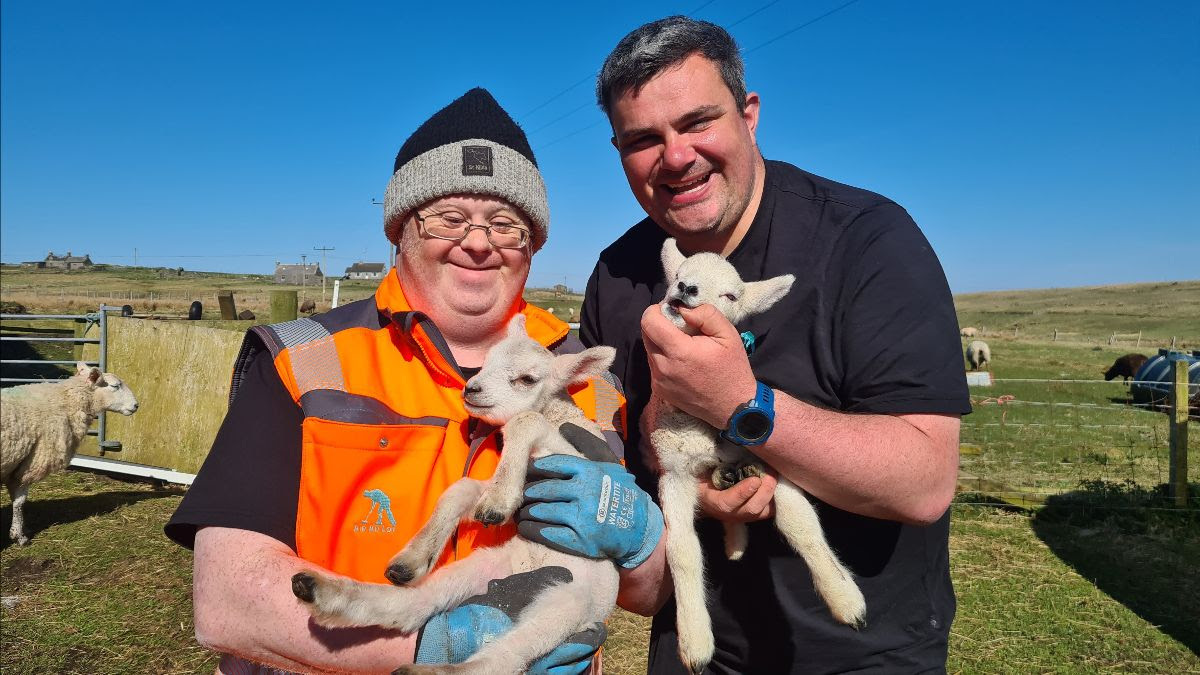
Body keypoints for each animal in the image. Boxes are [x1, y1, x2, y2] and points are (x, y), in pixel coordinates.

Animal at [1, 360, 138, 542]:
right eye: (115, 386)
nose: (136, 405)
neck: (66, 401)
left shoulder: (16, 467)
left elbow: (16, 501)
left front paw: (19, 530)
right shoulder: (28, 465)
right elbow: (19, 502)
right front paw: (19, 536)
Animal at [290, 314, 619, 672]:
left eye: (527, 379)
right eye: (486, 362)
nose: (471, 388)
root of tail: (525, 571)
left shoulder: (578, 461)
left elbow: (524, 419)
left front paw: (498, 498)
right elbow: (462, 489)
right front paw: (427, 547)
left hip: (569, 601)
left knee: (505, 658)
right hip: (484, 569)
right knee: (416, 604)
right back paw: (333, 590)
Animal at [648, 239, 864, 667]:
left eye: (731, 296)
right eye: (677, 274)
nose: (685, 288)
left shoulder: (772, 459)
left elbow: (802, 524)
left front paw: (845, 599)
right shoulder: (675, 471)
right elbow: (682, 551)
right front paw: (695, 641)